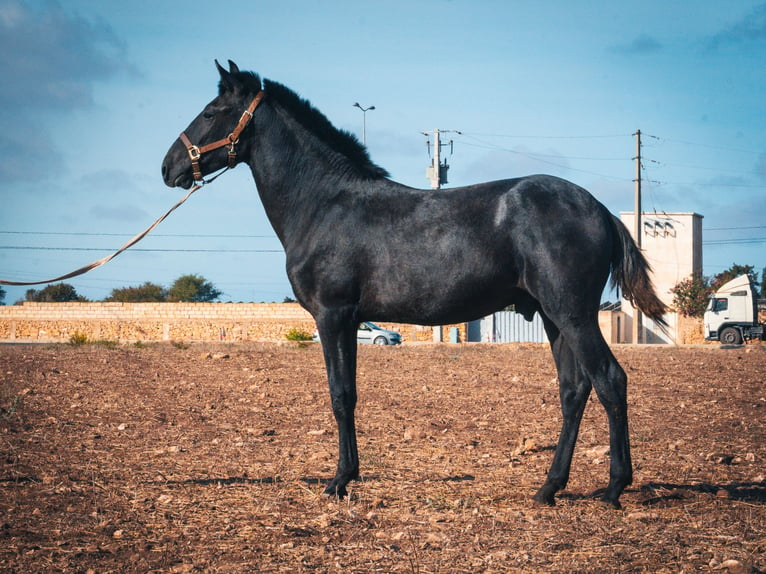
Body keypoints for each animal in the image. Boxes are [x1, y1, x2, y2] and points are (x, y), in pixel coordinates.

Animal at [162, 60, 664, 510]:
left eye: (210, 111)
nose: (168, 168)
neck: (325, 203)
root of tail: (598, 207)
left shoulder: (334, 315)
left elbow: (341, 395)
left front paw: (340, 481)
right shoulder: (349, 320)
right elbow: (347, 393)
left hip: (572, 314)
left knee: (609, 380)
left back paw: (614, 488)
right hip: (552, 316)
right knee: (573, 390)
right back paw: (549, 488)